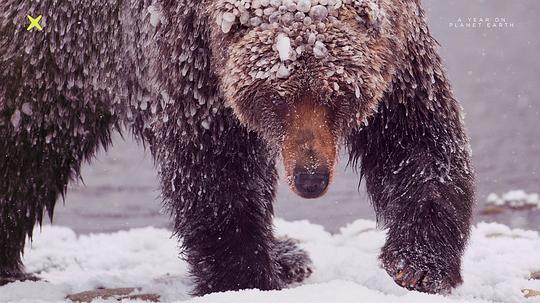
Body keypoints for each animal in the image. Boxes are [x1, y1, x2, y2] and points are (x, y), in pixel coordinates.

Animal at [0, 0, 472, 296]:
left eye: (337, 94)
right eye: (276, 96)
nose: (311, 178)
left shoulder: (398, 51)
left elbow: (416, 139)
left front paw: (417, 263)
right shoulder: (192, 60)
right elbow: (216, 172)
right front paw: (245, 278)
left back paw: (289, 254)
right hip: (48, 57)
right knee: (23, 156)